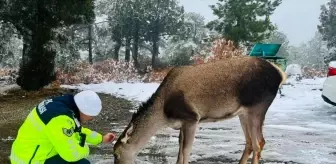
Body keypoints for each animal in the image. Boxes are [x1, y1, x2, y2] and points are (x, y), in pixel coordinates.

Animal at [112, 55, 286, 163]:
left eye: (116, 153)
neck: (163, 114)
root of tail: (280, 74)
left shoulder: (192, 117)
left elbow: (186, 151)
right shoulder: (182, 123)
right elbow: (179, 152)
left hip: (257, 107)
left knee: (259, 142)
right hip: (243, 113)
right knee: (250, 142)